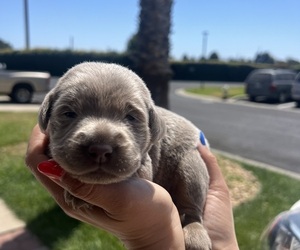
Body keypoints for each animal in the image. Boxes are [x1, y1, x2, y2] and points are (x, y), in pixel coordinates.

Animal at [39, 62, 211, 250]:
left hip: (191, 165)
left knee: (192, 207)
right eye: (69, 113)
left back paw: (195, 235)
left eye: (131, 117)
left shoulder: (144, 163)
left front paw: (76, 195)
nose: (100, 149)